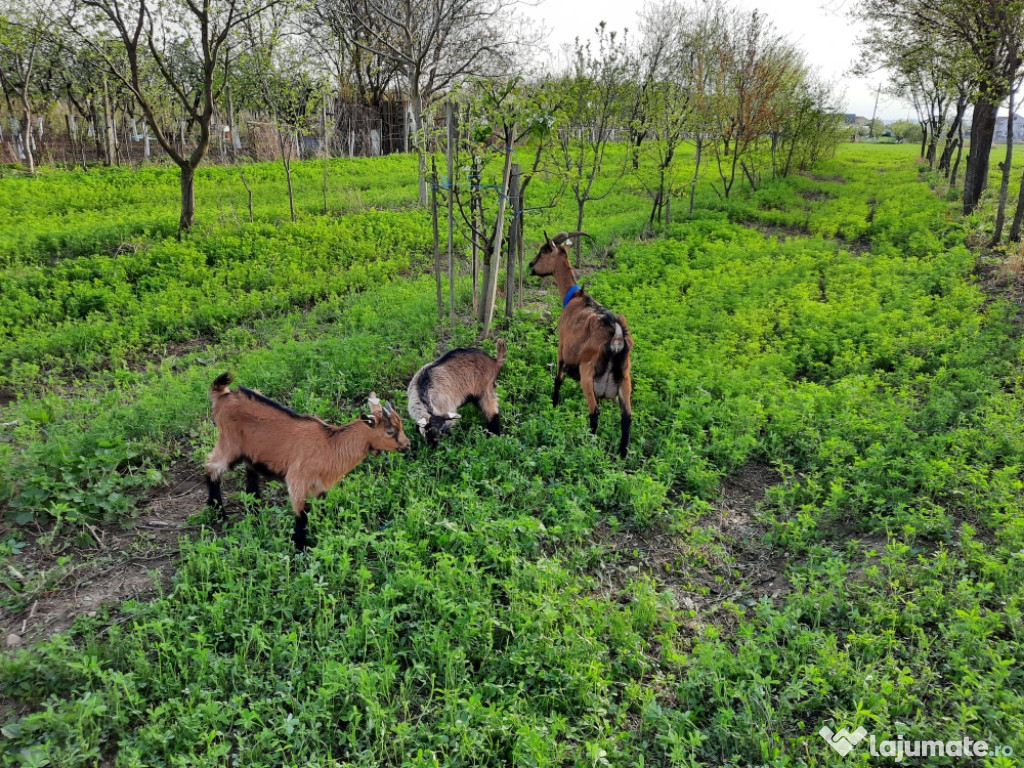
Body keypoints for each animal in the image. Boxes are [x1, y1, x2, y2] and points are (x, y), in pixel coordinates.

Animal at [528, 228, 630, 456]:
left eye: (543, 251)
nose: (531, 265)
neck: (574, 296)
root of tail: (617, 337)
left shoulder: (562, 347)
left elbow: (558, 378)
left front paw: (554, 405)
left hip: (587, 373)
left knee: (595, 412)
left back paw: (588, 445)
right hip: (625, 378)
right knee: (627, 417)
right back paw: (621, 455)